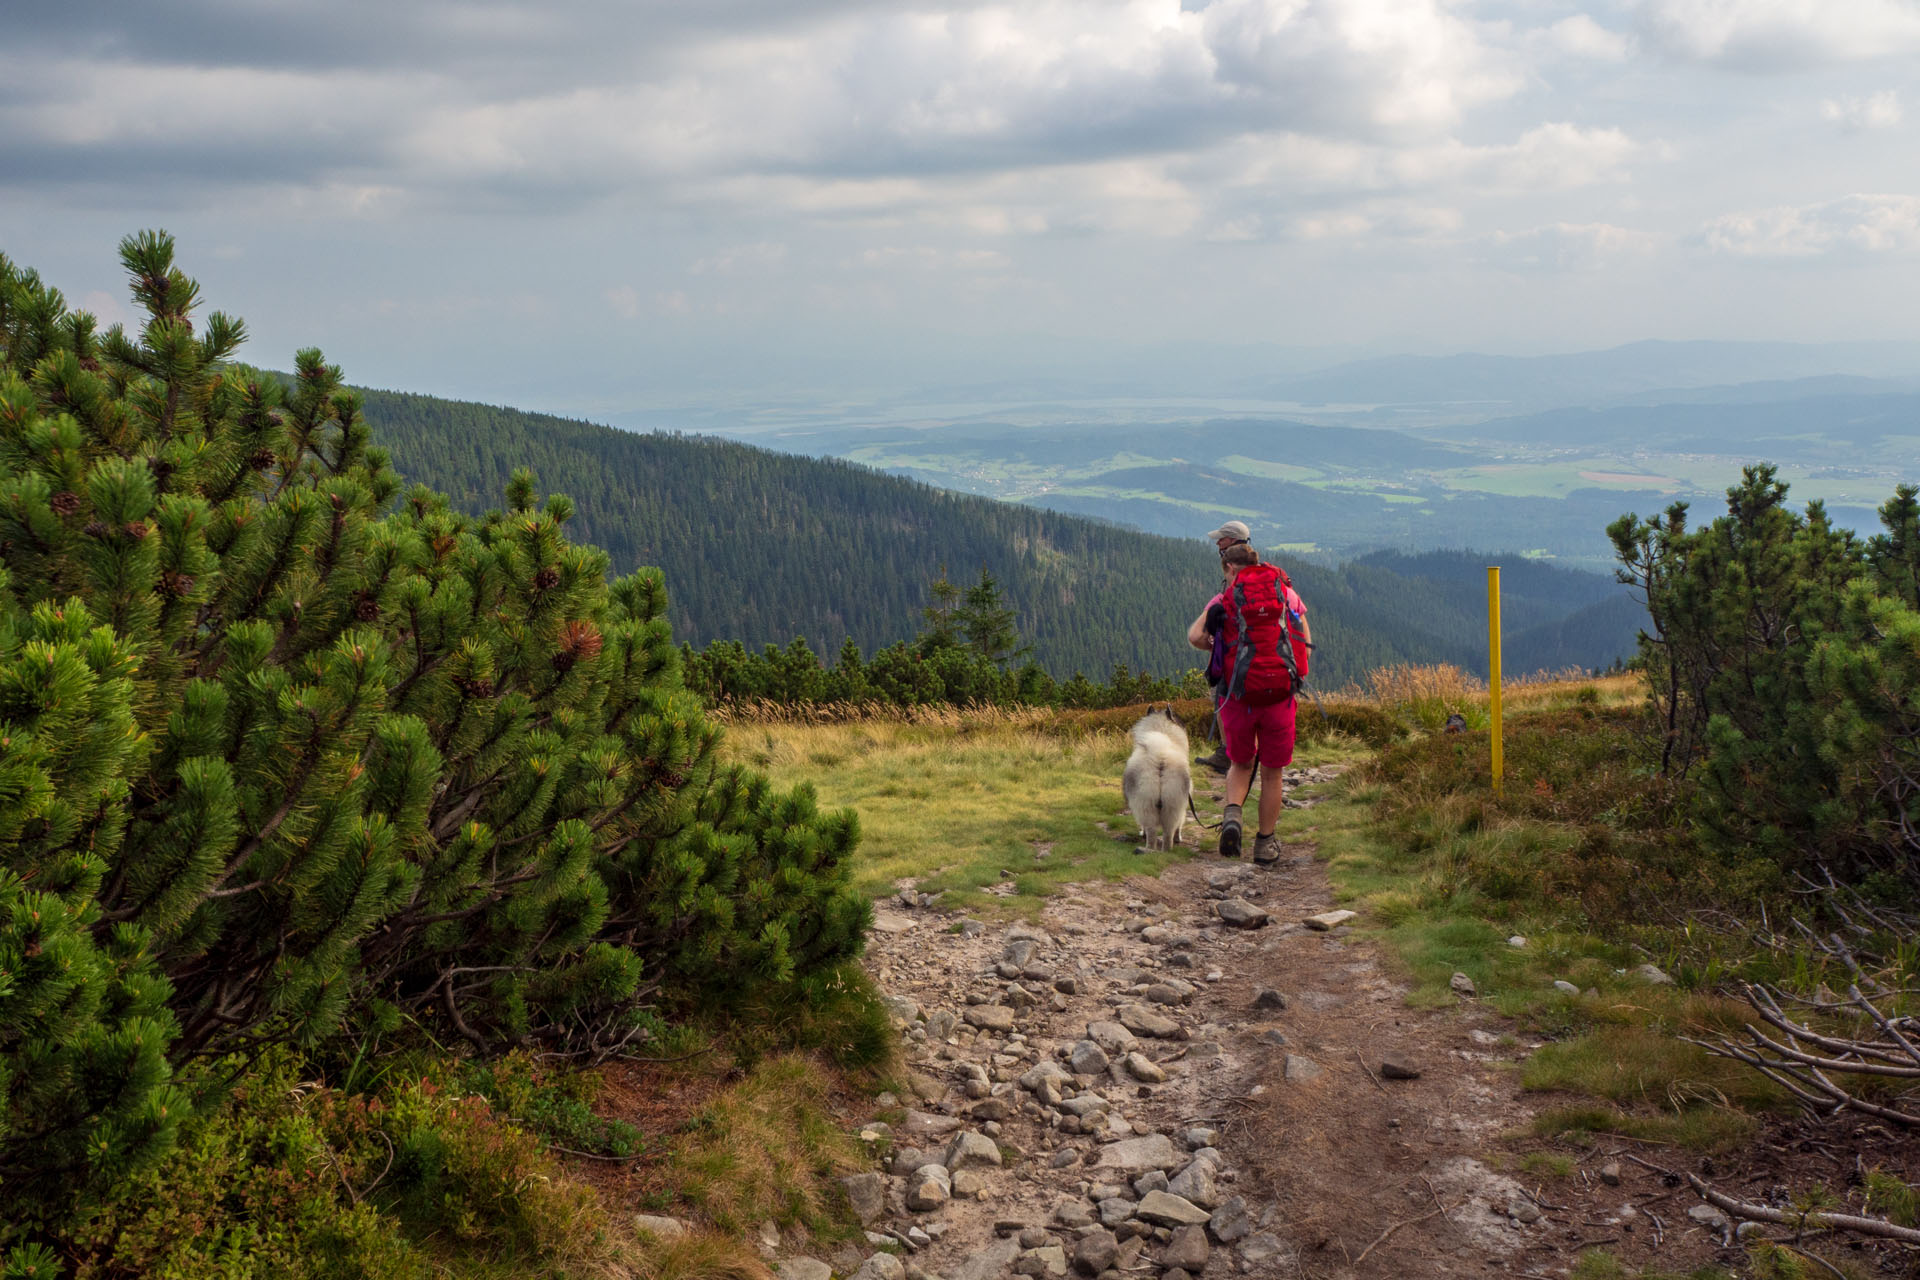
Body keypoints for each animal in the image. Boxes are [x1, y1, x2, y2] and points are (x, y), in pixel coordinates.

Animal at [1121, 706, 1190, 855]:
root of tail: (1160, 756)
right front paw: (1179, 838)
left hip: (1147, 804)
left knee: (1152, 831)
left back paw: (1149, 849)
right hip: (1172, 805)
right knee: (1168, 832)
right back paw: (1165, 851)